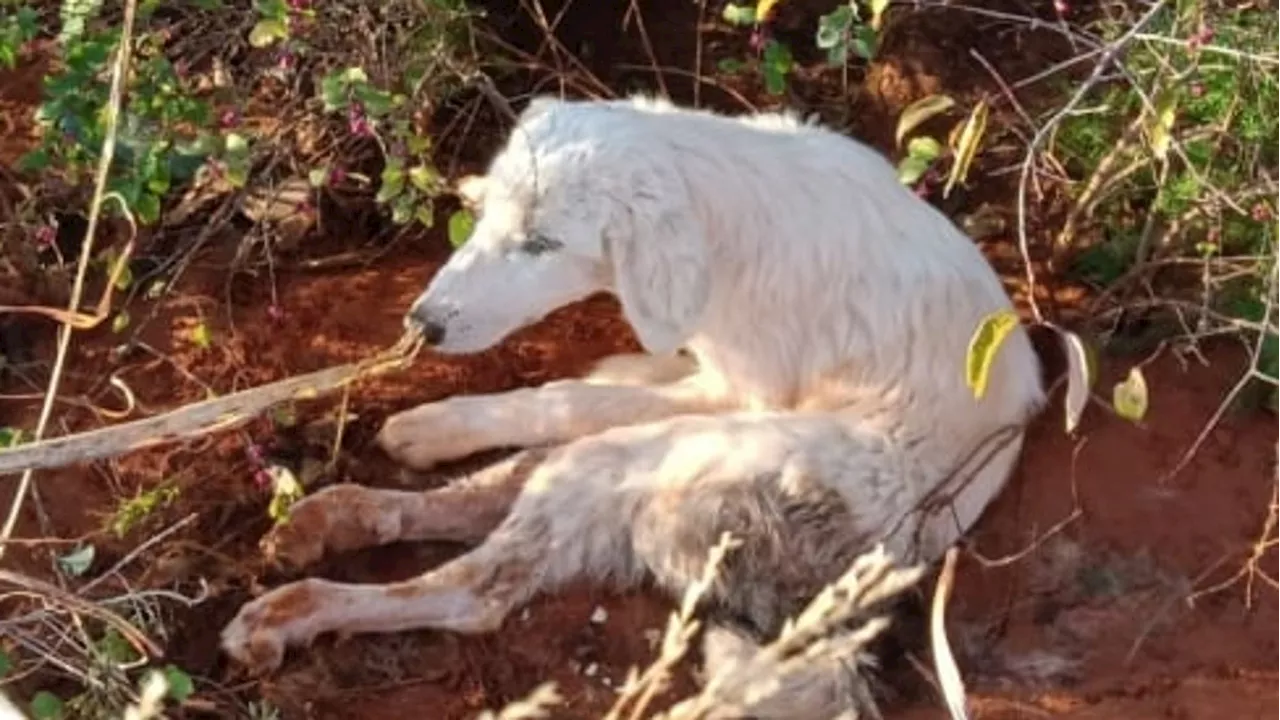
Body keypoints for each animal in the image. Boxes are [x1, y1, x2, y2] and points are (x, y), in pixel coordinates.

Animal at [217, 94, 1039, 712]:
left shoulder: (739, 389)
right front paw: (438, 426)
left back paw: (293, 610)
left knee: (476, 589)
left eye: (543, 243)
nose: (423, 325)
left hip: (659, 458)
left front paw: (445, 420)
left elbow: (565, 392)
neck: (725, 221)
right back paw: (333, 516)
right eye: (486, 219)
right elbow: (608, 379)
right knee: (484, 502)